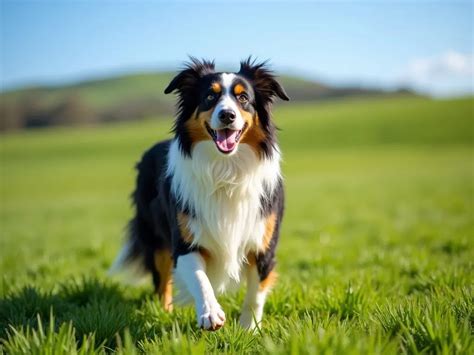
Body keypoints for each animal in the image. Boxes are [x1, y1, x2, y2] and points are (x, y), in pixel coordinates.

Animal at [111, 57, 288, 332]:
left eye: (243, 98)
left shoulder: (263, 243)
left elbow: (255, 294)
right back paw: (165, 314)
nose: (227, 115)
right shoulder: (185, 240)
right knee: (162, 284)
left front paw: (249, 329)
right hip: (156, 239)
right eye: (209, 97)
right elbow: (199, 277)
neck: (225, 170)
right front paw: (210, 313)